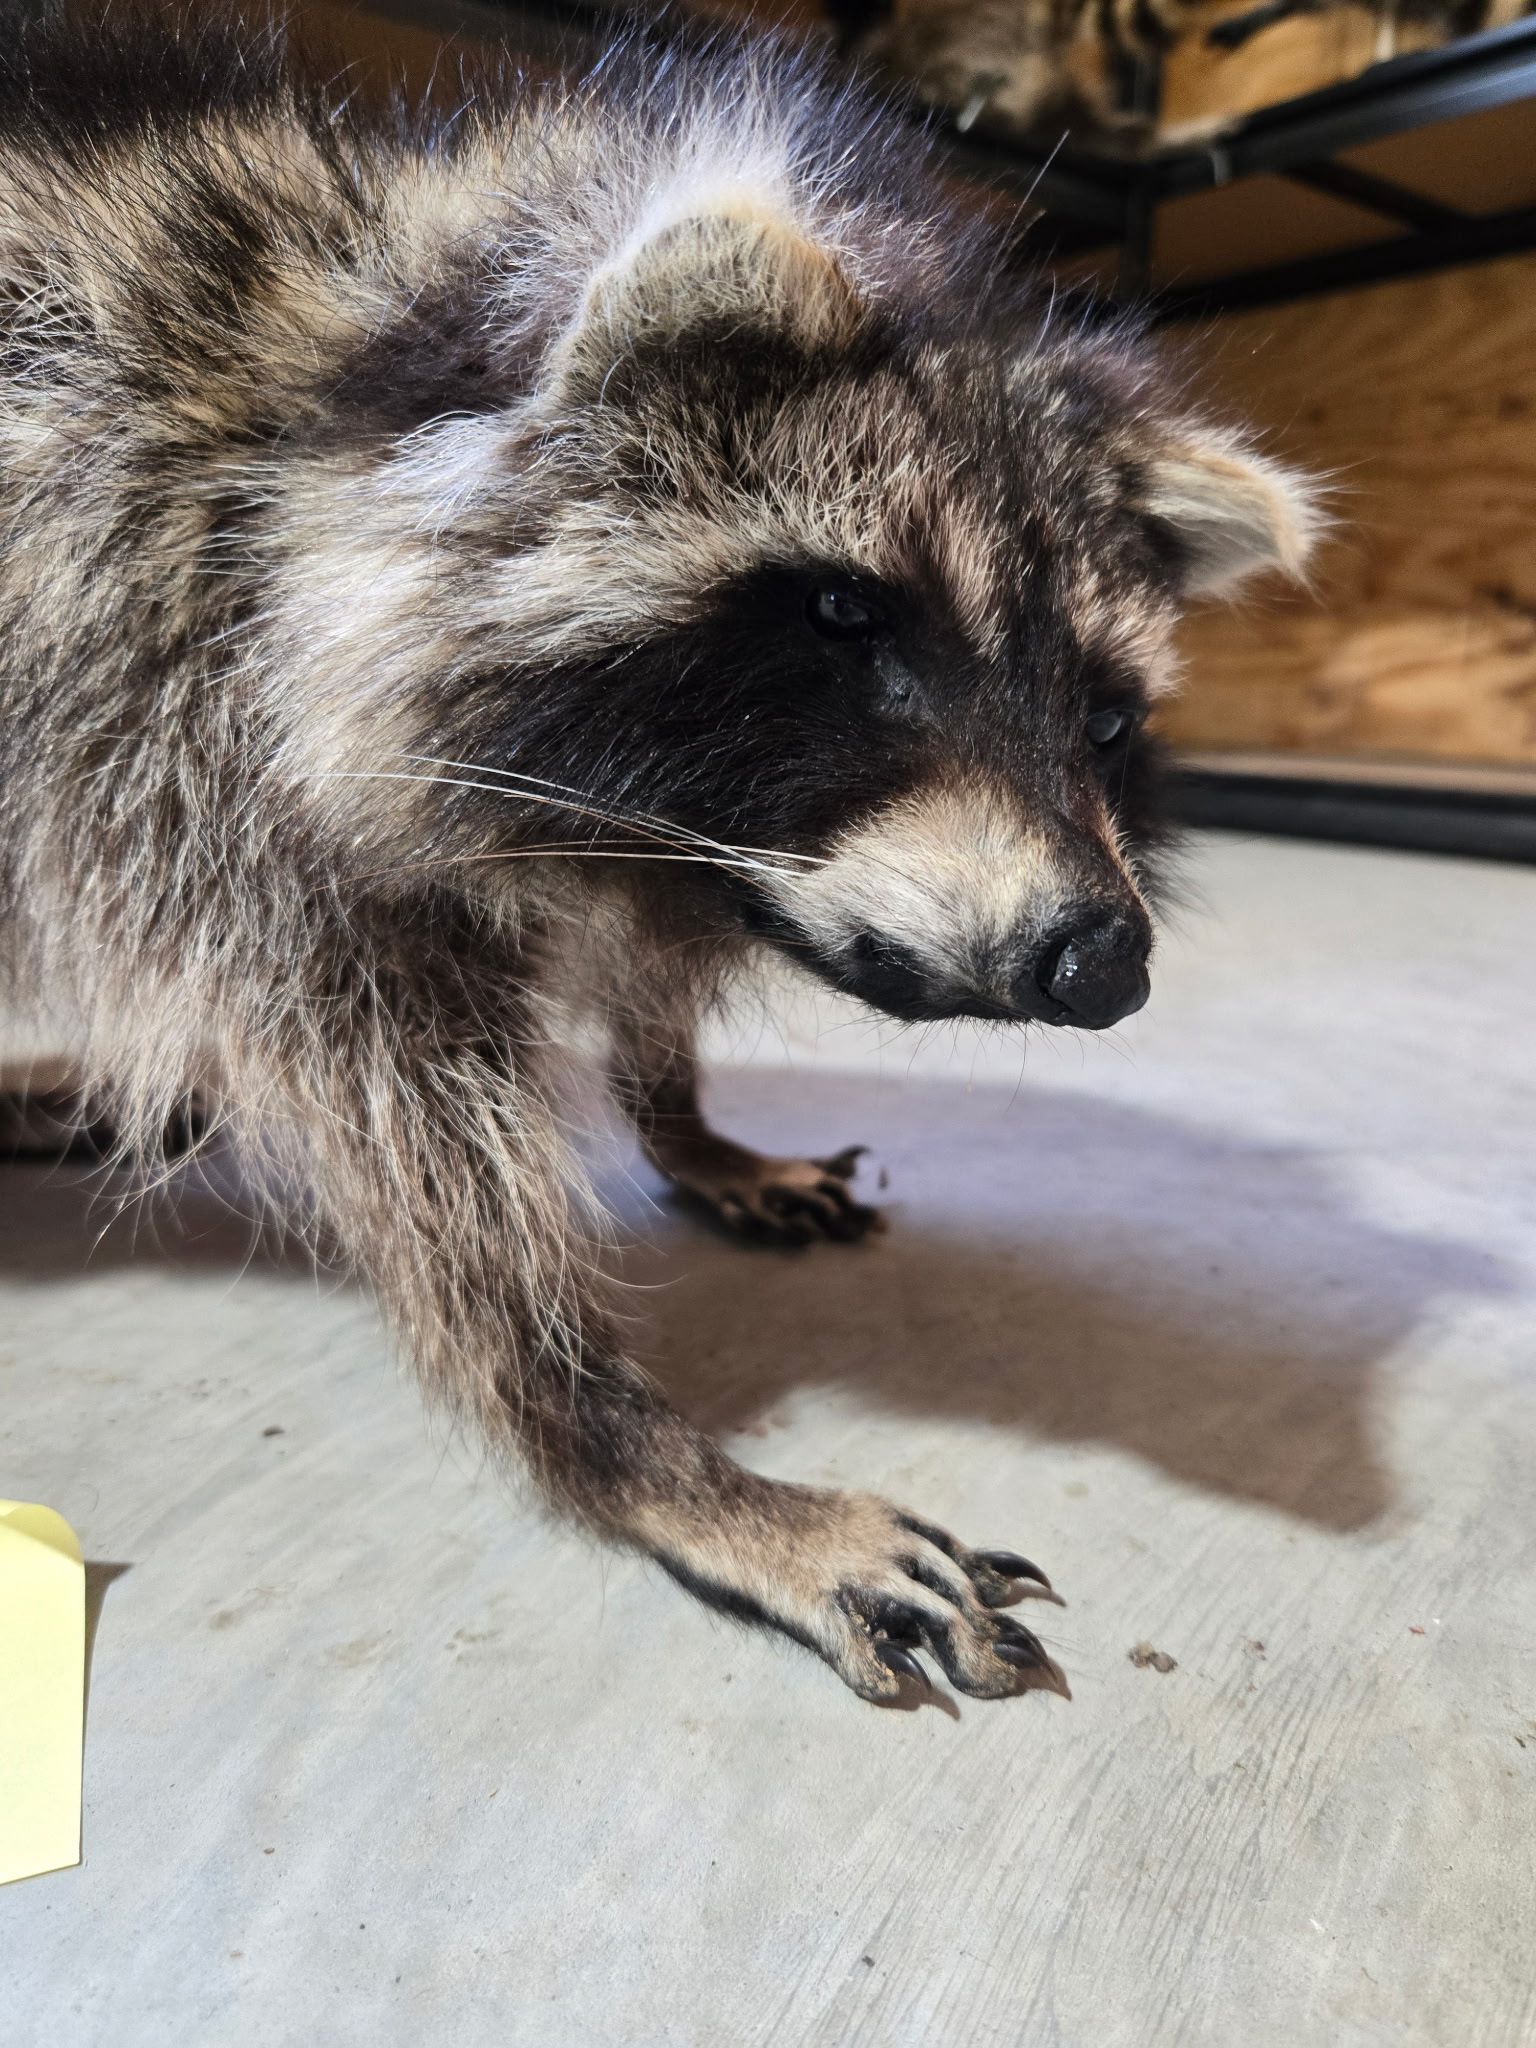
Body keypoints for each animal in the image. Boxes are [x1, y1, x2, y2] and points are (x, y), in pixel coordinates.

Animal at [0, 9, 1317, 1704]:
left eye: (1101, 717)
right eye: (847, 620)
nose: (1103, 958)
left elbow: (625, 985)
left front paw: (682, 1118)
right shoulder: (185, 747)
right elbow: (417, 1149)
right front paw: (619, 1440)